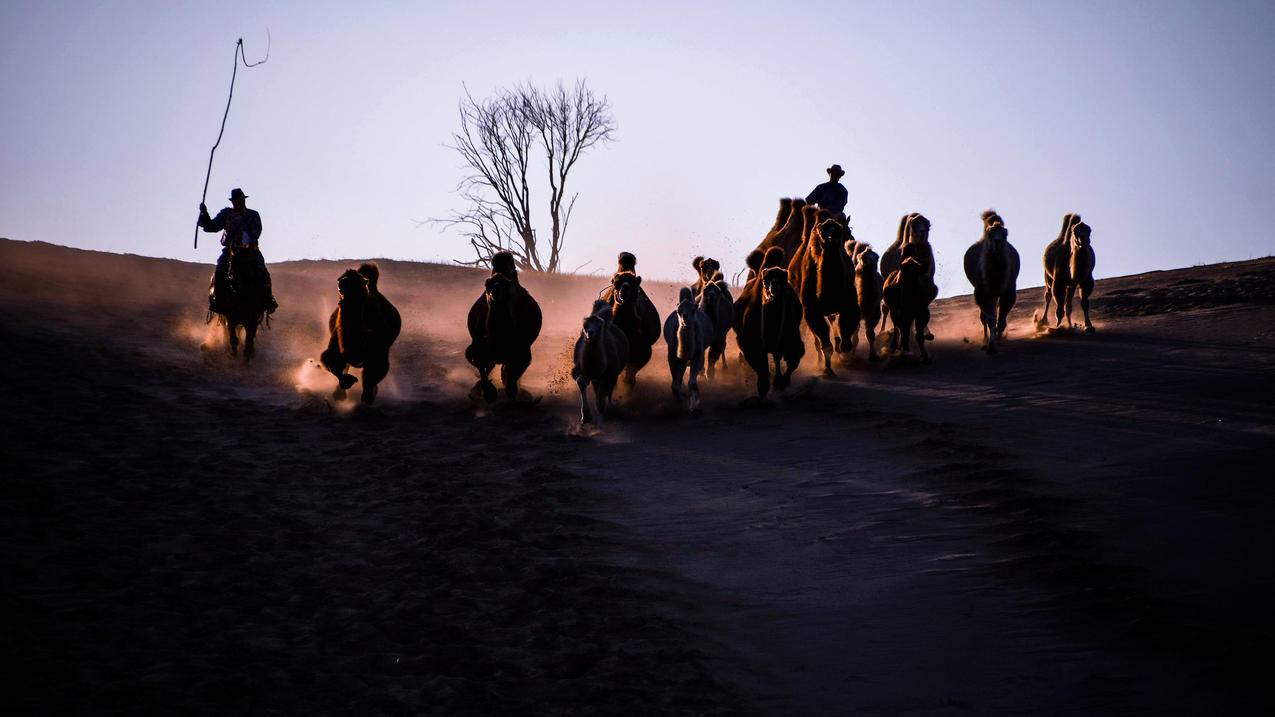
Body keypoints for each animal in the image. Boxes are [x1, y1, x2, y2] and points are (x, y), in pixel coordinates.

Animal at [318, 266, 397, 403]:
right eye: (340, 278)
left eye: (355, 280)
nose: (341, 282)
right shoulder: (336, 343)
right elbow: (332, 360)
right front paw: (345, 384)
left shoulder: (380, 350)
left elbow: (374, 373)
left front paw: (368, 396)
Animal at [466, 251, 540, 398]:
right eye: (487, 285)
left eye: (506, 285)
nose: (496, 291)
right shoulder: (479, 346)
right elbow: (482, 366)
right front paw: (488, 393)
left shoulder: (523, 350)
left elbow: (513, 373)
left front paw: (512, 390)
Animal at [734, 247, 800, 398]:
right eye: (765, 281)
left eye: (782, 280)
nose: (773, 290)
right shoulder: (751, 343)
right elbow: (760, 366)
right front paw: (763, 387)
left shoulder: (793, 339)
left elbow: (793, 360)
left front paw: (781, 383)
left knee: (777, 357)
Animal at [958, 207, 1020, 352]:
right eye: (990, 234)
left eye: (1004, 234)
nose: (997, 241)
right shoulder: (983, 293)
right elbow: (990, 319)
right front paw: (991, 345)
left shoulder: (1008, 292)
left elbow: (1001, 320)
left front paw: (998, 340)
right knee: (984, 318)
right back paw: (985, 339)